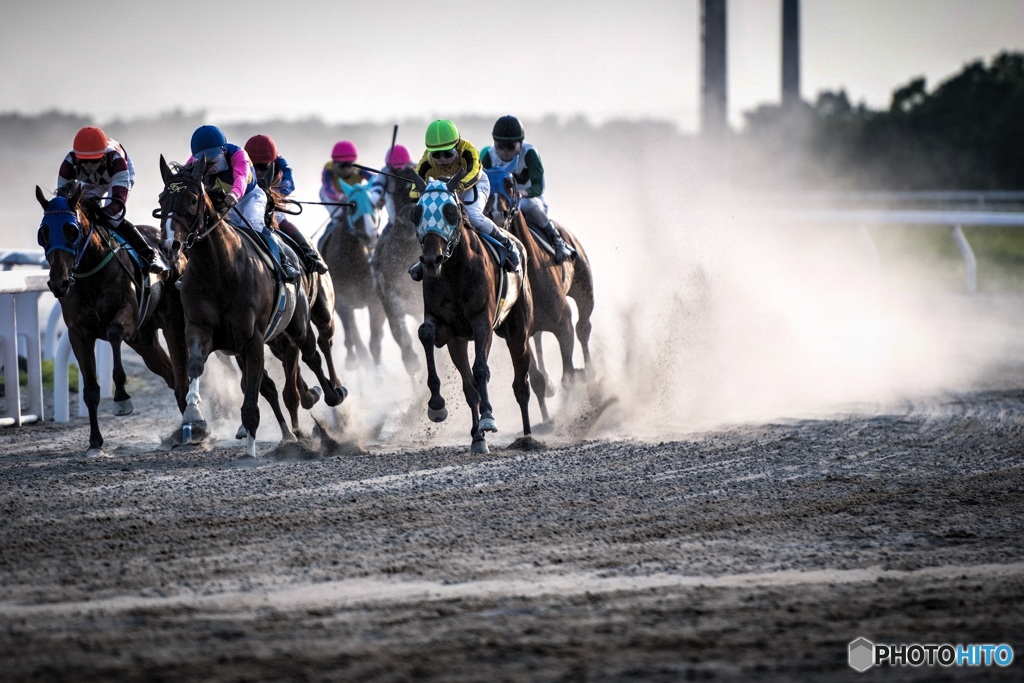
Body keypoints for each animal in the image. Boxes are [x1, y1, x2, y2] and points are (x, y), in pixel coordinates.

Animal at [36, 184, 189, 456]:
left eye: (71, 231)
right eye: (43, 233)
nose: (58, 282)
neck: (91, 272)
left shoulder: (127, 314)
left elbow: (114, 333)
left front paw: (121, 398)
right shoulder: (79, 333)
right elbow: (90, 390)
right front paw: (95, 442)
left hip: (173, 321)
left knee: (182, 373)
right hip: (144, 340)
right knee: (170, 374)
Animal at [157, 154, 346, 454]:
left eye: (193, 199)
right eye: (163, 199)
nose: (169, 245)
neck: (218, 271)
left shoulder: (252, 338)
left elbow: (256, 394)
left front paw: (251, 451)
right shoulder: (202, 330)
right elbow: (198, 366)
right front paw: (193, 416)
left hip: (302, 321)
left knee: (314, 351)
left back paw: (333, 393)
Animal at [405, 171, 540, 454]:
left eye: (450, 211)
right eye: (417, 212)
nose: (431, 260)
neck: (455, 270)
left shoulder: (481, 321)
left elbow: (481, 369)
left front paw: (488, 418)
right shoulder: (446, 327)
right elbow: (426, 333)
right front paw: (437, 405)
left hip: (518, 332)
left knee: (521, 384)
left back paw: (527, 437)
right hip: (458, 342)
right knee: (469, 388)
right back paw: (478, 438)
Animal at [483, 163, 598, 419]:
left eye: (510, 183)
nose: (496, 214)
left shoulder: (562, 321)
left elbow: (568, 374)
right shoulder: (518, 334)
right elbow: (536, 380)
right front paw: (547, 415)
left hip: (584, 287)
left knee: (583, 327)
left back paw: (591, 375)